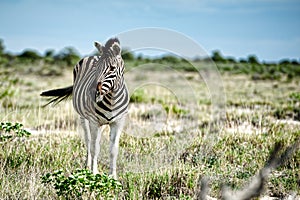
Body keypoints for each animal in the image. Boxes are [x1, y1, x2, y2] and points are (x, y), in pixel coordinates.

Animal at [40, 38, 129, 178]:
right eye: (96, 67)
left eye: (112, 68)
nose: (92, 92)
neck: (111, 100)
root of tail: (93, 56)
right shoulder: (93, 121)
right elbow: (94, 148)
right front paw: (94, 173)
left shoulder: (118, 122)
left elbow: (113, 149)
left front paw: (113, 177)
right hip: (83, 117)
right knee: (88, 140)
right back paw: (87, 166)